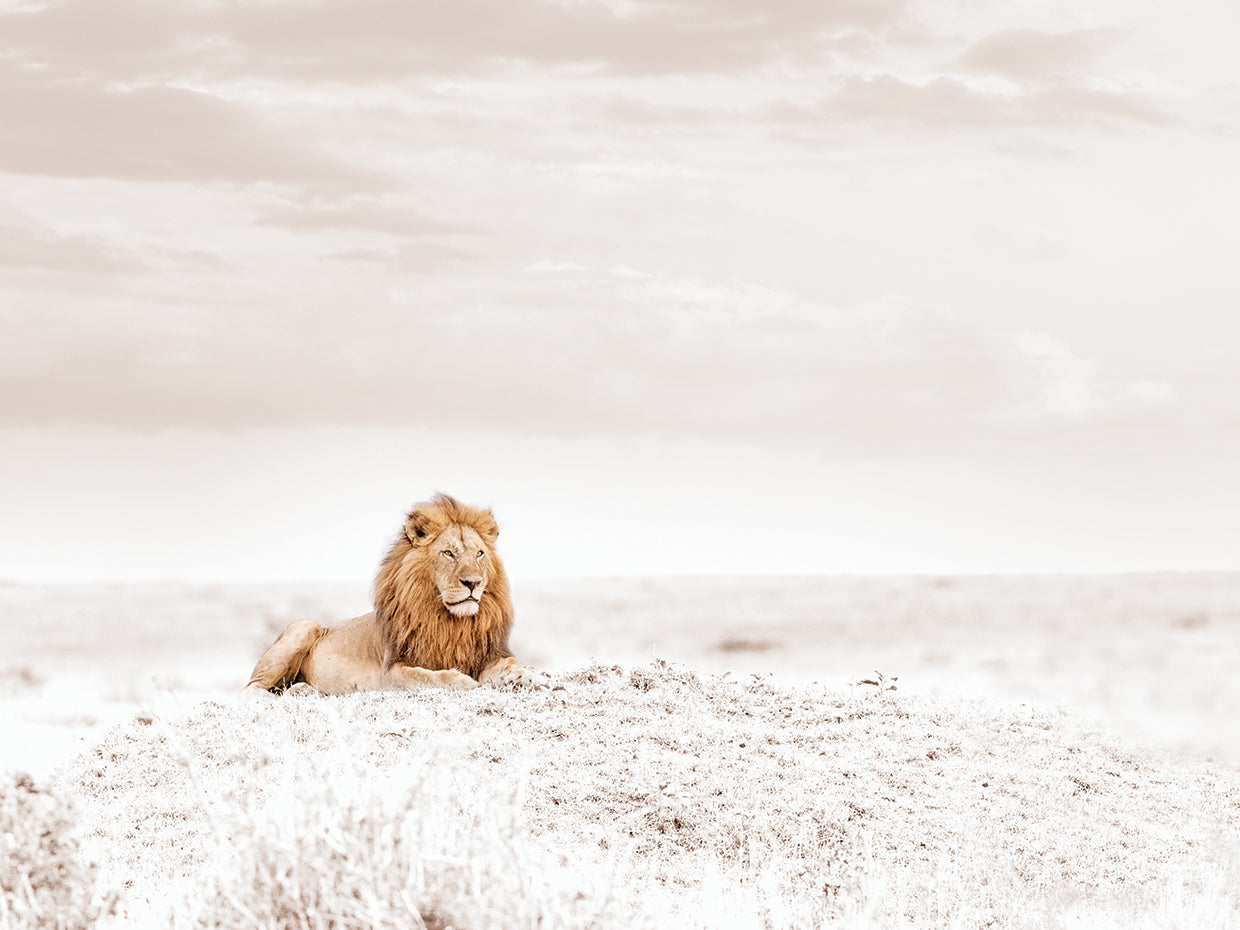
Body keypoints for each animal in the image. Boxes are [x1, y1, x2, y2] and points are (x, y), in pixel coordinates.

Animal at [243, 494, 538, 695]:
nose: (473, 583)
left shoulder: (488, 655)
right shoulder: (391, 672)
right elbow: (429, 676)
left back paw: (302, 690)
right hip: (304, 626)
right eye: (448, 553)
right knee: (251, 690)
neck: (450, 623)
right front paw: (461, 680)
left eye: (479, 553)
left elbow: (511, 663)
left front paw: (526, 675)